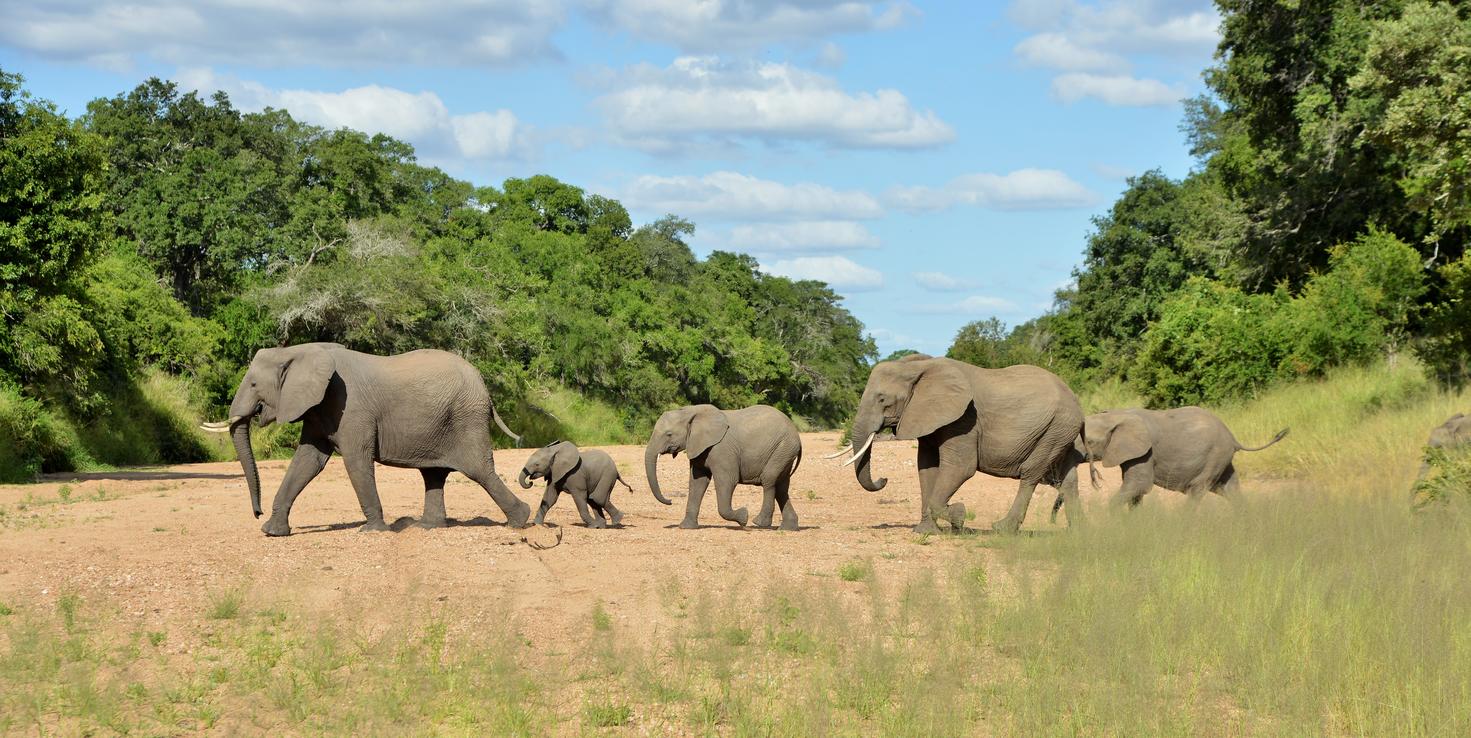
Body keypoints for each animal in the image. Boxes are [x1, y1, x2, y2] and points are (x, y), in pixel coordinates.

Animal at [200, 343, 530, 536]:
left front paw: (373, 532)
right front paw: (272, 532)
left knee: (479, 470)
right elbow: (307, 461)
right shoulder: (319, 408)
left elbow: (356, 461)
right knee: (433, 474)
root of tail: (485, 389)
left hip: (465, 418)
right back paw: (426, 527)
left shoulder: (350, 407)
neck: (300, 351)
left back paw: (519, 521)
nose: (255, 514)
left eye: (254, 384)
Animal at [645, 404, 802, 530]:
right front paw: (685, 528)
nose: (670, 501)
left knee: (769, 480)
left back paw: (759, 523)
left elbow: (727, 481)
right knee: (781, 488)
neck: (692, 411)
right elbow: (697, 482)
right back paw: (788, 528)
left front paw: (743, 517)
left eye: (669, 434)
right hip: (784, 452)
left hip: (783, 448)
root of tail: (797, 435)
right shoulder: (699, 448)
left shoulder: (722, 450)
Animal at [836, 353, 1085, 534]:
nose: (884, 479)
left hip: (1056, 427)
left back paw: (1002, 529)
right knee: (1066, 479)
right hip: (1059, 431)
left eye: (882, 399)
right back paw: (1080, 535)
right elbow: (926, 467)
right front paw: (925, 531)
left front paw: (959, 515)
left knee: (1031, 474)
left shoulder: (964, 420)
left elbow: (961, 468)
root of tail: (1076, 401)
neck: (920, 367)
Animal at [1066, 407, 1287, 513]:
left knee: (1198, 489)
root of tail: (1233, 438)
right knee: (1228, 488)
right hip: (1221, 459)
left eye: (1089, 441)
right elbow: (1136, 490)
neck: (1117, 414)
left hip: (1214, 456)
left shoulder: (1146, 452)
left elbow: (1139, 485)